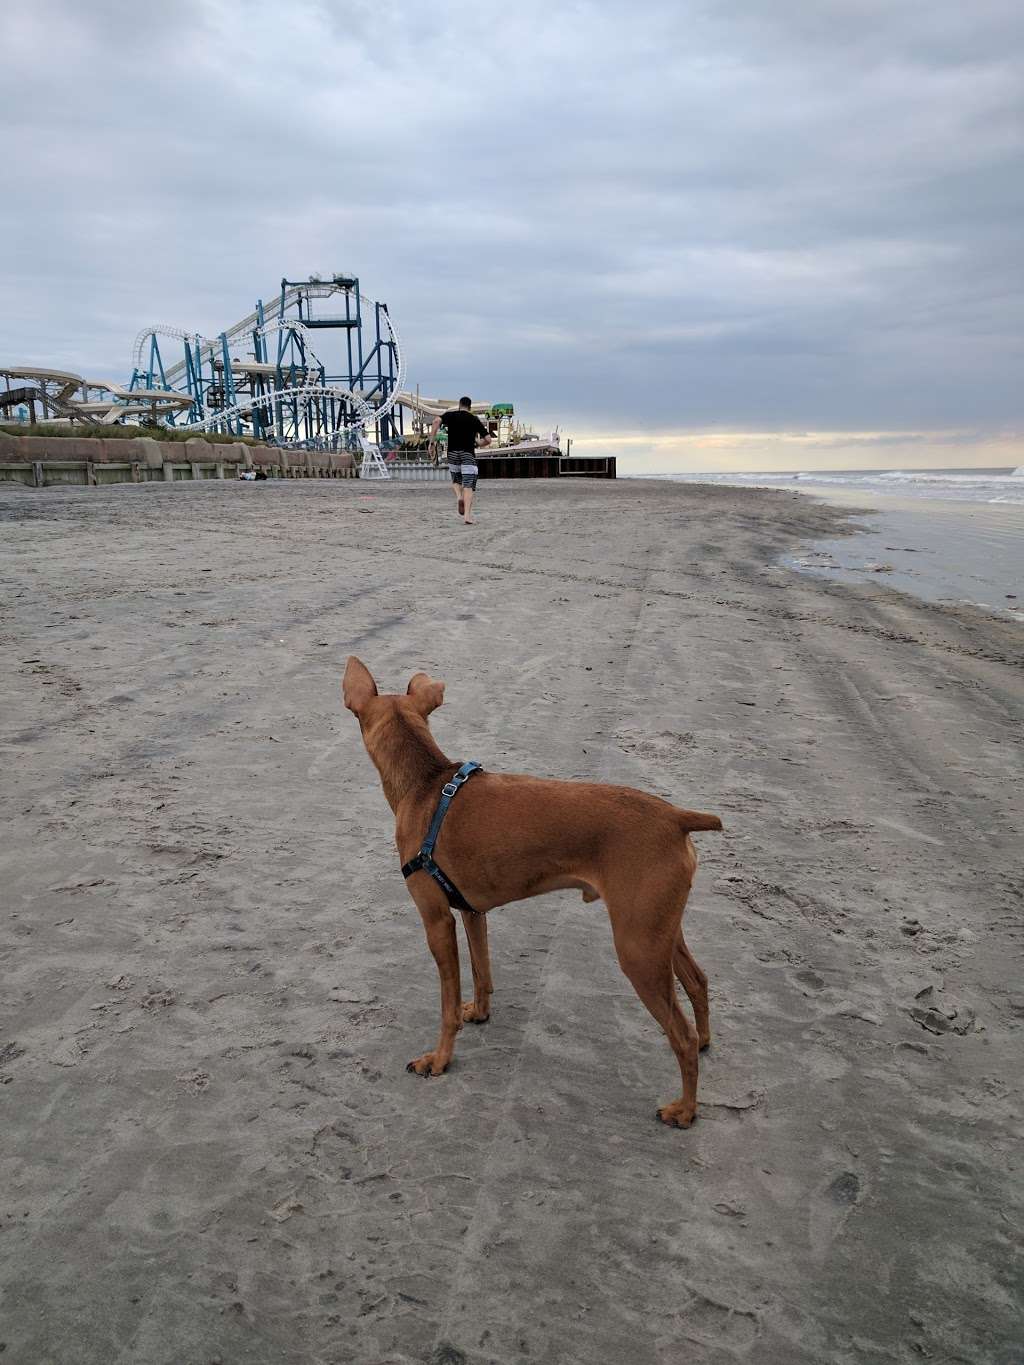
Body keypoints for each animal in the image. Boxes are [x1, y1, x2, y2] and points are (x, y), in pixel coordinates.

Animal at [345, 655, 720, 1124]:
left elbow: (448, 1005)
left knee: (679, 1035)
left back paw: (685, 1110)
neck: (427, 783)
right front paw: (480, 1013)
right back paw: (705, 1041)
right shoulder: (472, 912)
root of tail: (676, 817)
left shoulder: (437, 922)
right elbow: (482, 973)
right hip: (660, 933)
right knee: (698, 982)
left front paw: (440, 1059)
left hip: (638, 950)